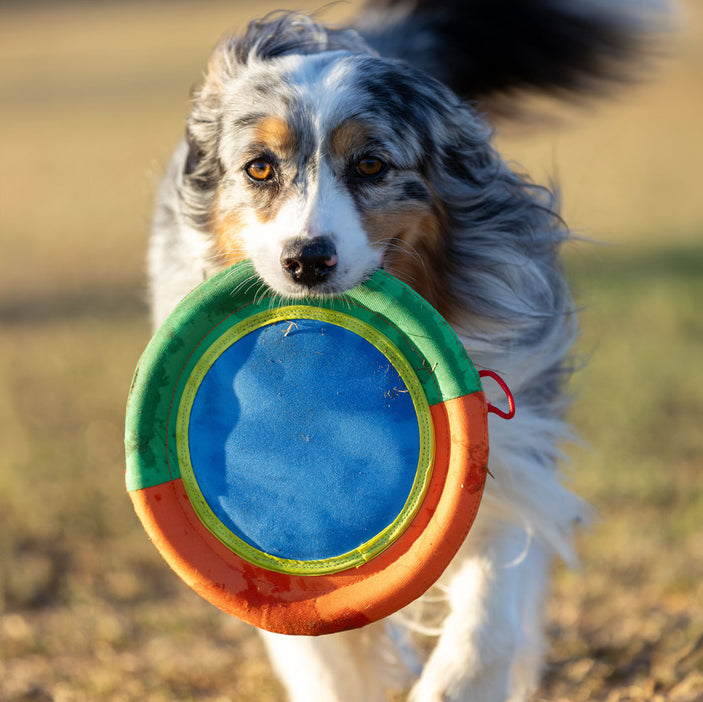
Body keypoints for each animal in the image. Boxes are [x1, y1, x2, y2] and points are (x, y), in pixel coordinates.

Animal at [150, 2, 672, 700]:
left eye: (372, 165)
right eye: (259, 167)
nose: (306, 260)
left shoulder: (506, 446)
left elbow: (488, 609)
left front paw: (459, 680)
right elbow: (318, 644)